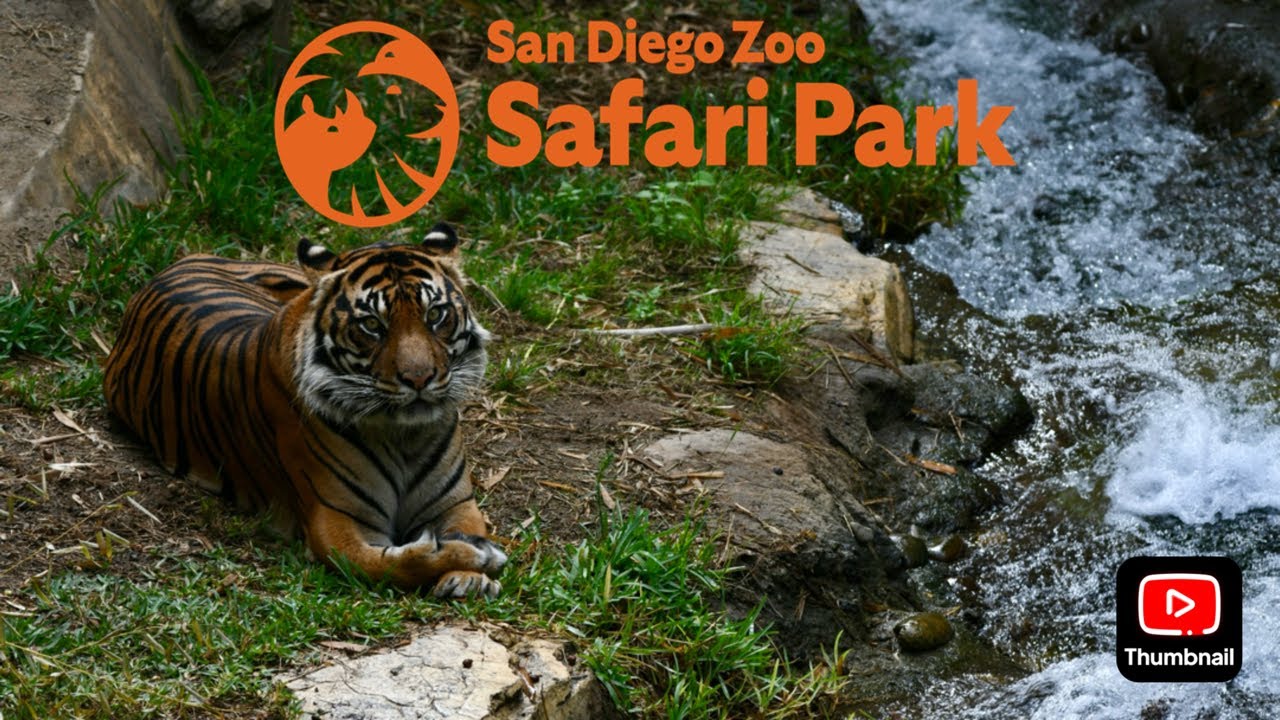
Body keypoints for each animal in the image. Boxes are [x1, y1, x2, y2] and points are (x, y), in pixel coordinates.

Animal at [103, 223, 506, 597]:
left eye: (435, 314)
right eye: (372, 325)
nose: (419, 378)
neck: (406, 435)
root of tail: (186, 260)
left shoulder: (455, 503)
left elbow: (468, 528)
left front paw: (470, 576)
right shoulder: (335, 522)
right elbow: (387, 564)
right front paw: (477, 556)